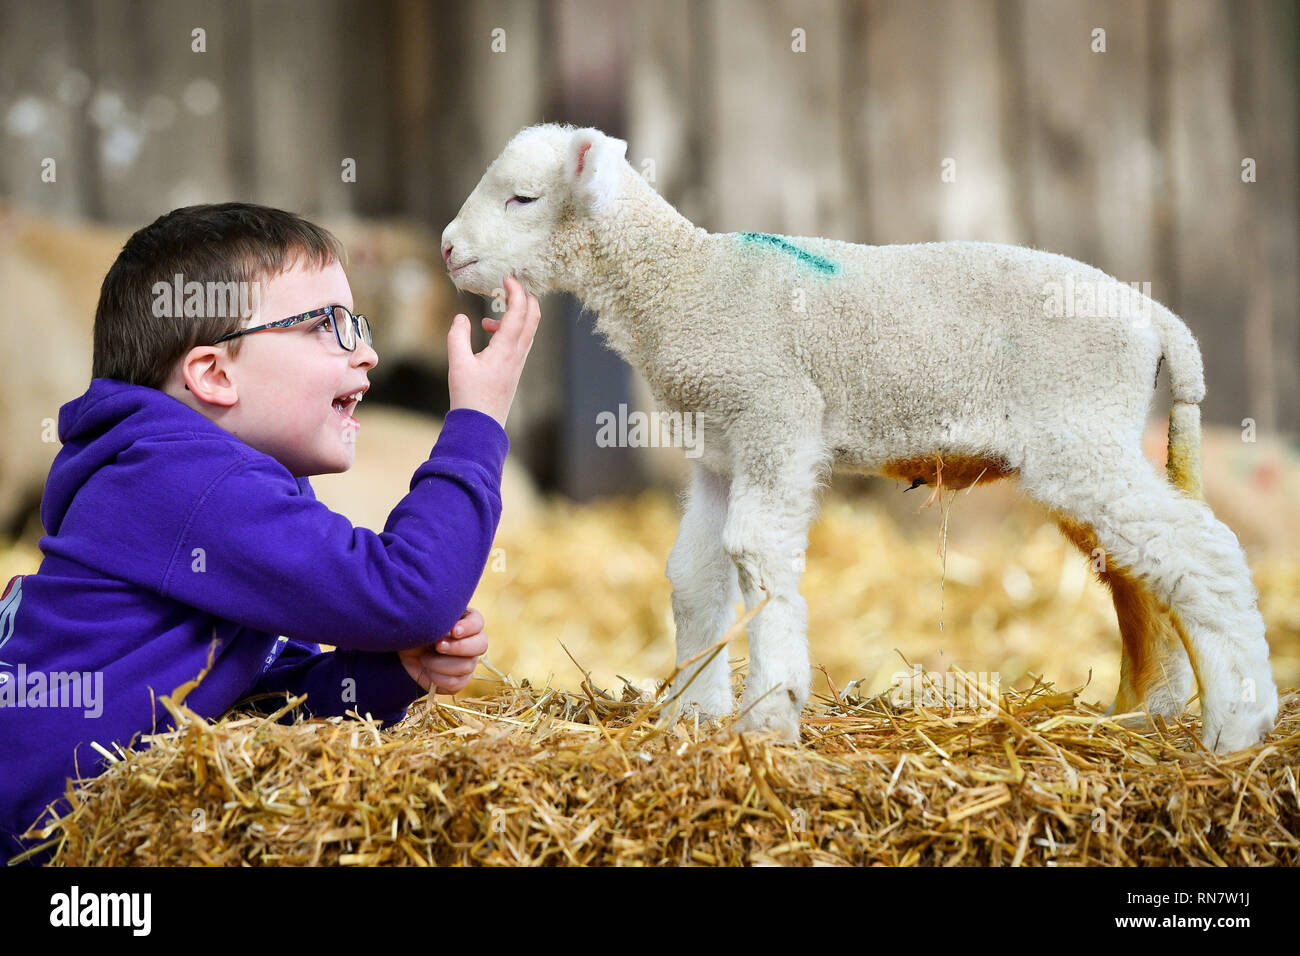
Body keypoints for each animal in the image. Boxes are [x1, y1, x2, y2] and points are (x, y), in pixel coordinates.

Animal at [444, 121, 1279, 754]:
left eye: (523, 197)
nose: (450, 248)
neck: (684, 284)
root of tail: (1158, 322)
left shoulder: (777, 416)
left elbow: (755, 552)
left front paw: (770, 717)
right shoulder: (721, 446)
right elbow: (696, 572)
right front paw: (695, 714)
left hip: (1081, 437)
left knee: (1203, 553)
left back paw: (1238, 724)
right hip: (1090, 444)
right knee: (1143, 574)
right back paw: (1150, 712)